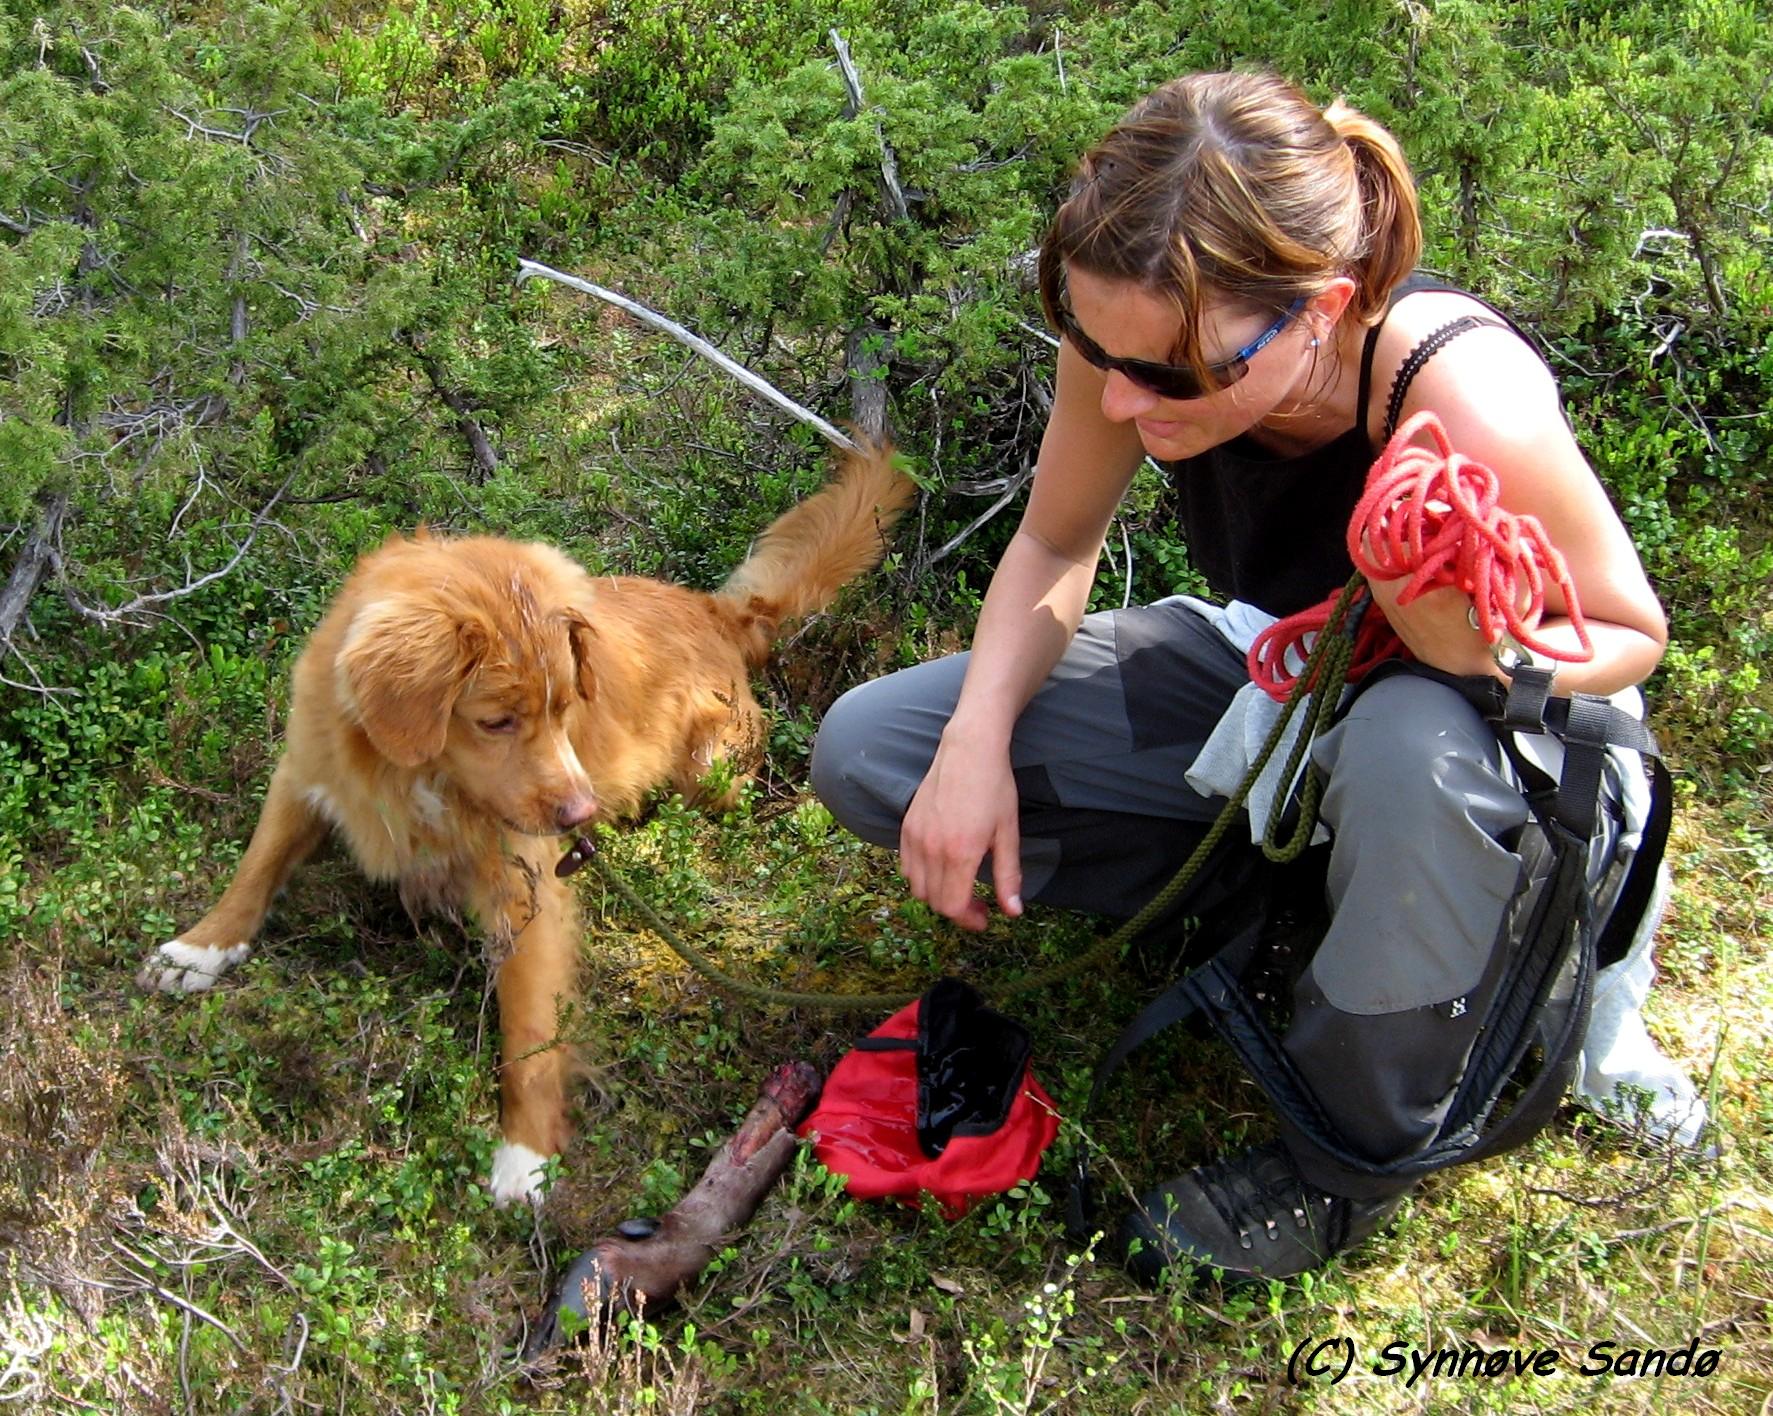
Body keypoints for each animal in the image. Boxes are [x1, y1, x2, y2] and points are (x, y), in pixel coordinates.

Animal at [138, 448, 914, 1205]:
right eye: (495, 721)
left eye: (567, 706)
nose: (581, 816)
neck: (417, 778)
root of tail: (717, 613)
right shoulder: (305, 775)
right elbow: (258, 864)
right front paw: (200, 947)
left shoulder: (527, 891)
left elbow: (531, 1031)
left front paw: (526, 1151)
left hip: (713, 771)